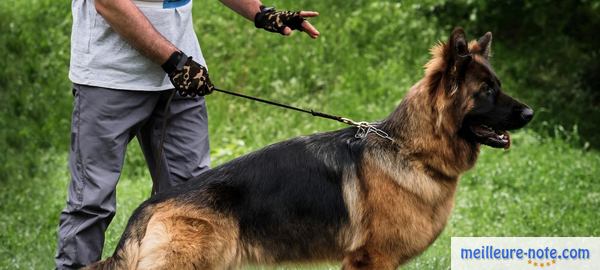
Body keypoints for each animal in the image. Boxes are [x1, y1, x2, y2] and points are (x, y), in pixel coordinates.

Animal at [85, 28, 536, 268]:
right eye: (487, 91)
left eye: (498, 84)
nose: (531, 112)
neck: (408, 149)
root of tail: (148, 206)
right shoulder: (372, 258)